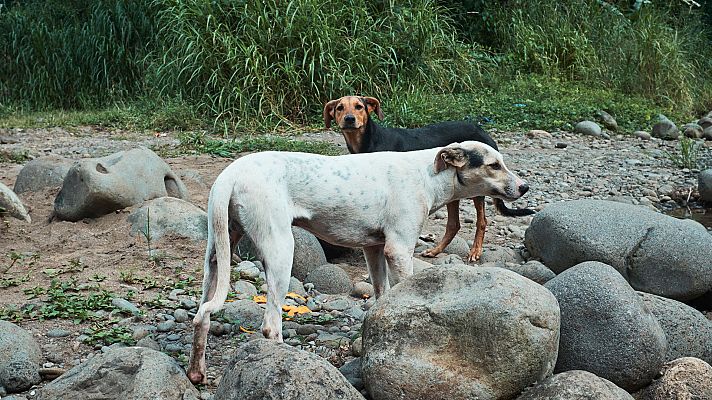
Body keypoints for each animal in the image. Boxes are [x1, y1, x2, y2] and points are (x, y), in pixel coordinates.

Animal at [324, 95, 536, 260]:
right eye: (339, 107)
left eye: (359, 106)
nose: (349, 119)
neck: (369, 141)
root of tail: (484, 132)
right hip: (453, 192)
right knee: (454, 225)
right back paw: (435, 251)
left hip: (477, 188)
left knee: (481, 221)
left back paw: (475, 251)